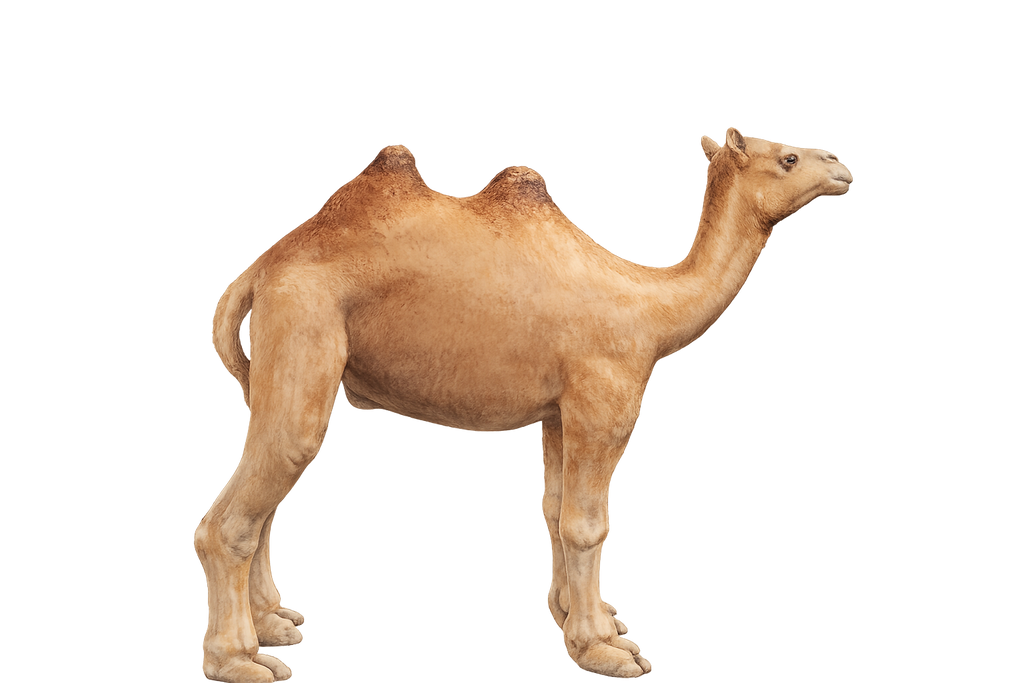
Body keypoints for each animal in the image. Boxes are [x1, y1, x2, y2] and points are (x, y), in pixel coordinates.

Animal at [192, 125, 854, 682]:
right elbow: (588, 525)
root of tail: (260, 268)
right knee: (253, 494)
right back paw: (241, 660)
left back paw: (276, 621)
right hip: (304, 321)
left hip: (272, 358)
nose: (841, 165)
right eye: (787, 158)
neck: (652, 307)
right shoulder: (604, 401)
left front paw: (584, 617)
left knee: (266, 497)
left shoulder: (560, 413)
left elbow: (553, 509)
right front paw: (604, 649)